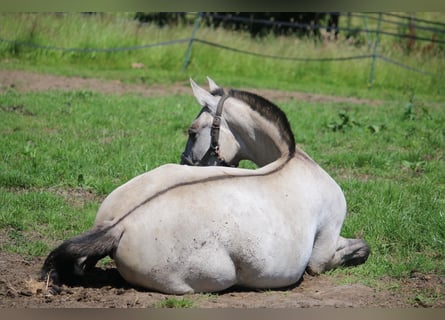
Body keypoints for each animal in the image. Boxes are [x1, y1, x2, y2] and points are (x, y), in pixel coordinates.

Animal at [40, 78, 368, 296]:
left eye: (192, 131)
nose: (186, 161)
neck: (291, 159)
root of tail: (119, 225)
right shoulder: (323, 250)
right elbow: (360, 249)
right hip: (213, 277)